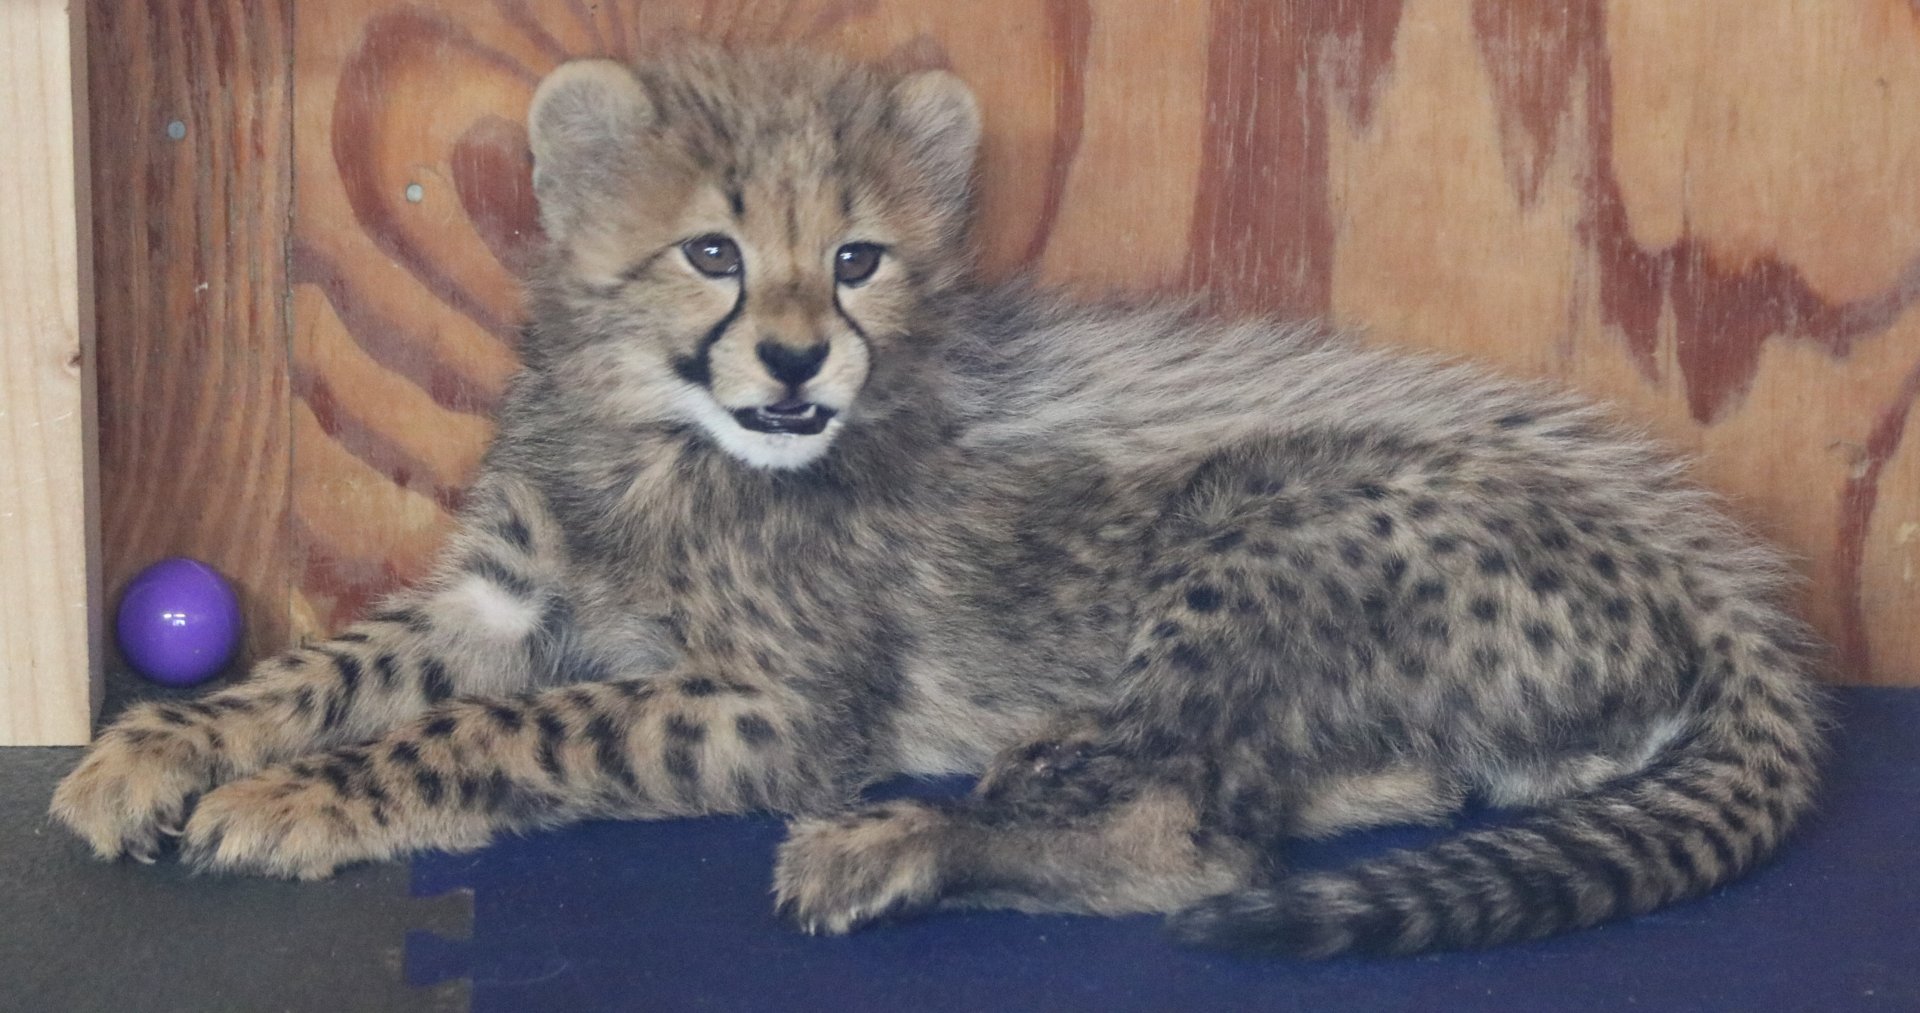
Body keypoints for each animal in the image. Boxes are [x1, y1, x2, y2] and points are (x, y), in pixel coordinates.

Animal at [51, 46, 1826, 957]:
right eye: (711, 249)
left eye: (857, 258)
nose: (794, 361)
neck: (666, 439)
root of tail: (1698, 563)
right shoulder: (500, 595)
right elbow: (330, 668)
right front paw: (154, 749)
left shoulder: (776, 710)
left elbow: (509, 727)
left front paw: (308, 798)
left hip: (1264, 529)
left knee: (1198, 842)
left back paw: (904, 842)